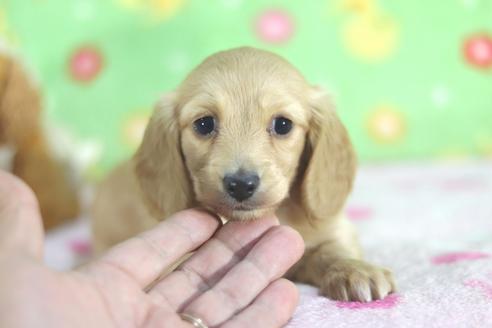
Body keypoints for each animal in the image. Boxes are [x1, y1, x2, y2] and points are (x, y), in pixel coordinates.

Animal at [94, 47, 396, 302]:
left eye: (282, 124)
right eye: (204, 124)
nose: (240, 184)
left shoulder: (333, 229)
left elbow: (331, 249)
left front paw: (355, 270)